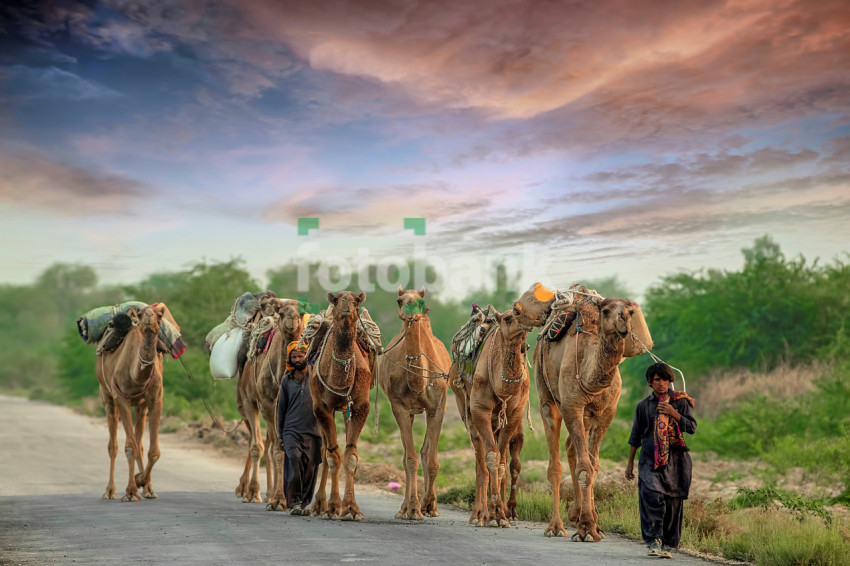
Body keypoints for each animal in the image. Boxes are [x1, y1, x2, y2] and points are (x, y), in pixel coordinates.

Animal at [95, 306, 167, 502]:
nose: (149, 315)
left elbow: (153, 451)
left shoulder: (155, 399)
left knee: (140, 443)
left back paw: (148, 489)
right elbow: (129, 447)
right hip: (107, 397)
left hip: (141, 407)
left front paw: (142, 482)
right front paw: (131, 491)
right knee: (114, 445)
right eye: (142, 314)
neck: (137, 376)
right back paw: (110, 492)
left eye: (159, 315)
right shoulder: (121, 399)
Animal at [235, 298, 304, 510]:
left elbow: (278, 447)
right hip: (248, 403)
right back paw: (251, 491)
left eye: (301, 312)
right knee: (259, 443)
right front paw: (275, 498)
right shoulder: (264, 403)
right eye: (281, 312)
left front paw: (280, 498)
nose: (292, 318)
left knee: (267, 442)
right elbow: (268, 448)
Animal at [304, 292, 372, 524]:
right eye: (337, 299)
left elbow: (351, 455)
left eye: (356, 301)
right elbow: (333, 456)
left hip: (344, 409)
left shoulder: (360, 405)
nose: (346, 308)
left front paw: (351, 509)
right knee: (326, 450)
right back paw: (319, 505)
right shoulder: (322, 407)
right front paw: (334, 507)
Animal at [378, 286, 450, 520]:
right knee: (407, 456)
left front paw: (429, 505)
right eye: (399, 300)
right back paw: (404, 508)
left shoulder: (438, 406)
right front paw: (414, 509)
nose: (410, 311)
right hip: (408, 411)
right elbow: (410, 459)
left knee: (425, 452)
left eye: (420, 301)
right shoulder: (399, 406)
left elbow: (431, 459)